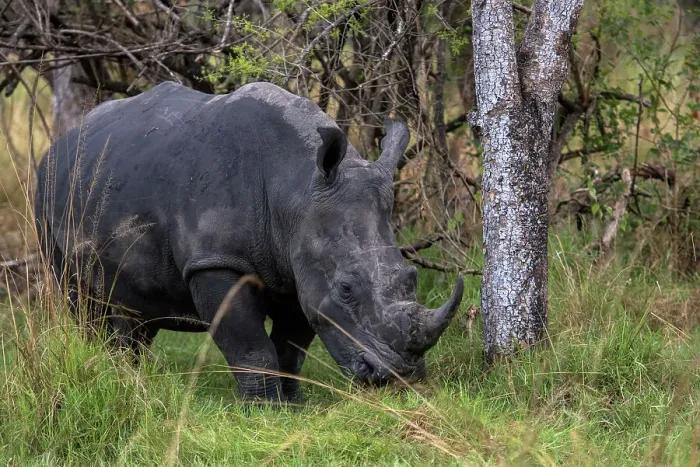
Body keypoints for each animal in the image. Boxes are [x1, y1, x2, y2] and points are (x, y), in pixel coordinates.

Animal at [34, 81, 464, 402]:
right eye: (345, 289)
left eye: (411, 277)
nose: (398, 375)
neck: (295, 187)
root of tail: (58, 144)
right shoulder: (216, 260)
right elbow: (250, 345)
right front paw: (264, 410)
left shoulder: (299, 267)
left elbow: (291, 346)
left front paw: (292, 403)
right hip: (44, 194)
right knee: (80, 300)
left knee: (133, 310)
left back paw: (127, 378)